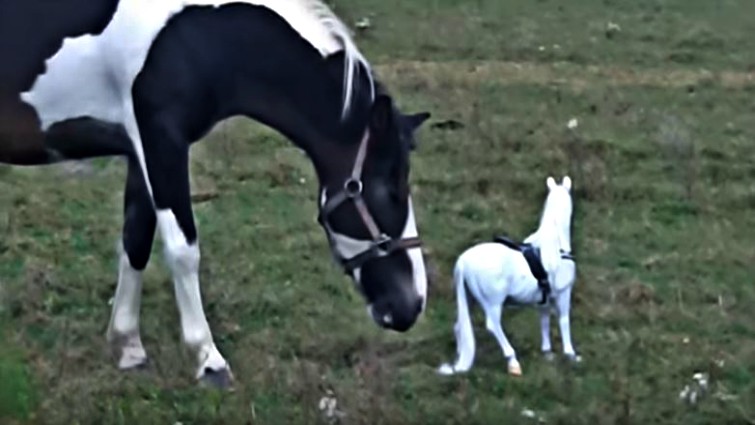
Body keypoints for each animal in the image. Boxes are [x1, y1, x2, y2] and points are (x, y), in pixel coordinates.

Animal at [0, 0, 432, 388]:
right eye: (389, 186)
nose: (411, 305)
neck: (197, 34)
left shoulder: (140, 150)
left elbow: (136, 240)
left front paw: (127, 345)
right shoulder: (162, 142)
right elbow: (183, 250)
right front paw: (208, 359)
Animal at [438, 176, 579, 377]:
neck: (555, 243)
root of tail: (464, 261)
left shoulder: (543, 300)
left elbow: (544, 321)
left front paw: (547, 352)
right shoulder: (563, 293)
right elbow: (564, 320)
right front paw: (570, 354)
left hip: (470, 300)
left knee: (459, 326)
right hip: (493, 303)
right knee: (493, 325)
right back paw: (513, 361)